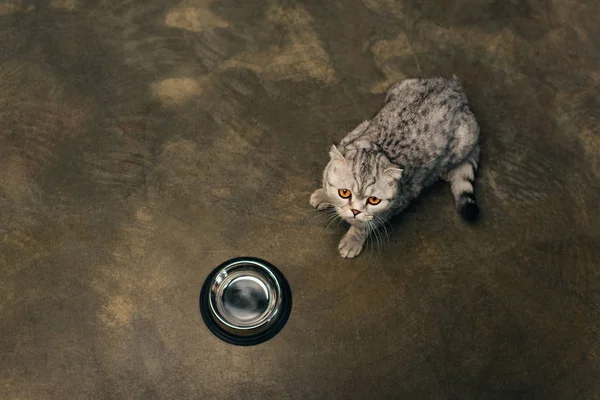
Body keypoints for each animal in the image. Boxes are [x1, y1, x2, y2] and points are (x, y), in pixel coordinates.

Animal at [312, 77, 480, 260]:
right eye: (344, 192)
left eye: (374, 200)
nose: (355, 210)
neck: (378, 146)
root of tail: (453, 84)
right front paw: (323, 194)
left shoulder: (399, 201)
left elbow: (366, 225)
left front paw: (353, 239)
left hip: (465, 140)